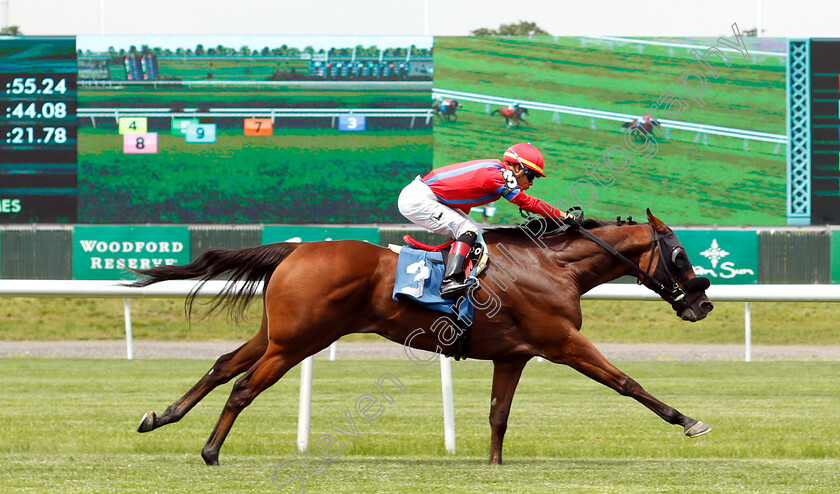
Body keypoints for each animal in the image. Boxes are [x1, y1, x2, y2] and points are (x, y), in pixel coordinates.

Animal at [133, 208, 716, 466]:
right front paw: (688, 421)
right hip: (297, 342)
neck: (553, 265)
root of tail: (296, 249)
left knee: (222, 365)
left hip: (276, 333)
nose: (703, 303)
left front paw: (494, 466)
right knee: (243, 387)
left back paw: (160, 417)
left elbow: (498, 415)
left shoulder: (514, 356)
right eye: (680, 253)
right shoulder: (563, 344)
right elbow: (627, 383)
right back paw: (210, 451)